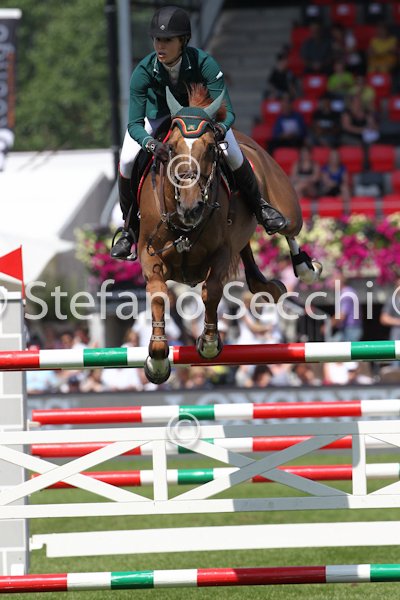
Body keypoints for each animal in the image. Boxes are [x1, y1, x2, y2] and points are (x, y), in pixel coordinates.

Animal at [137, 84, 321, 384]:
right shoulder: (149, 255)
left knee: (288, 230)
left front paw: (210, 343)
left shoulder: (221, 252)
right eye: (171, 148)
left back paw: (305, 268)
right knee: (249, 257)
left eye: (212, 148)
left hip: (288, 209)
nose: (190, 207)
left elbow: (211, 291)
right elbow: (158, 294)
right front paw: (158, 358)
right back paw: (268, 285)